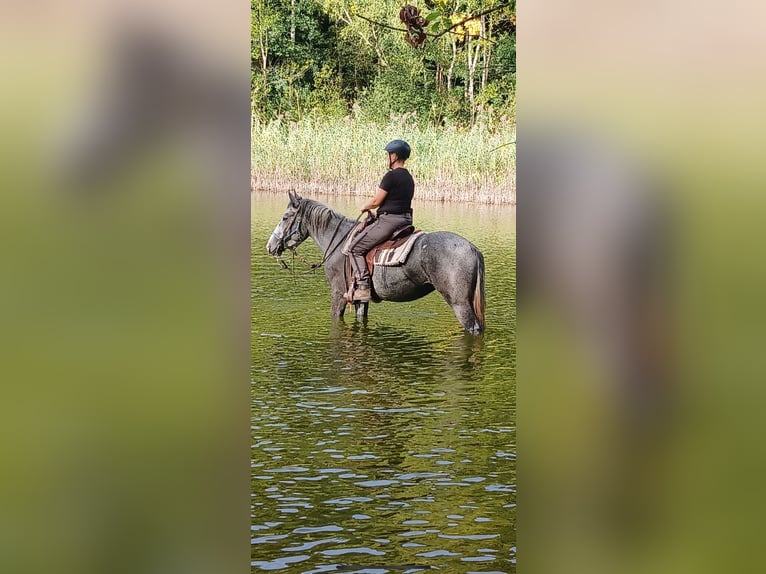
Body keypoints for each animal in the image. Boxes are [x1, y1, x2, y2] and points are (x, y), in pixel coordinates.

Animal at [266, 192, 486, 335]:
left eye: (285, 217)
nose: (270, 246)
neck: (337, 242)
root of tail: (472, 248)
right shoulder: (360, 300)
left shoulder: (338, 294)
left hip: (459, 303)